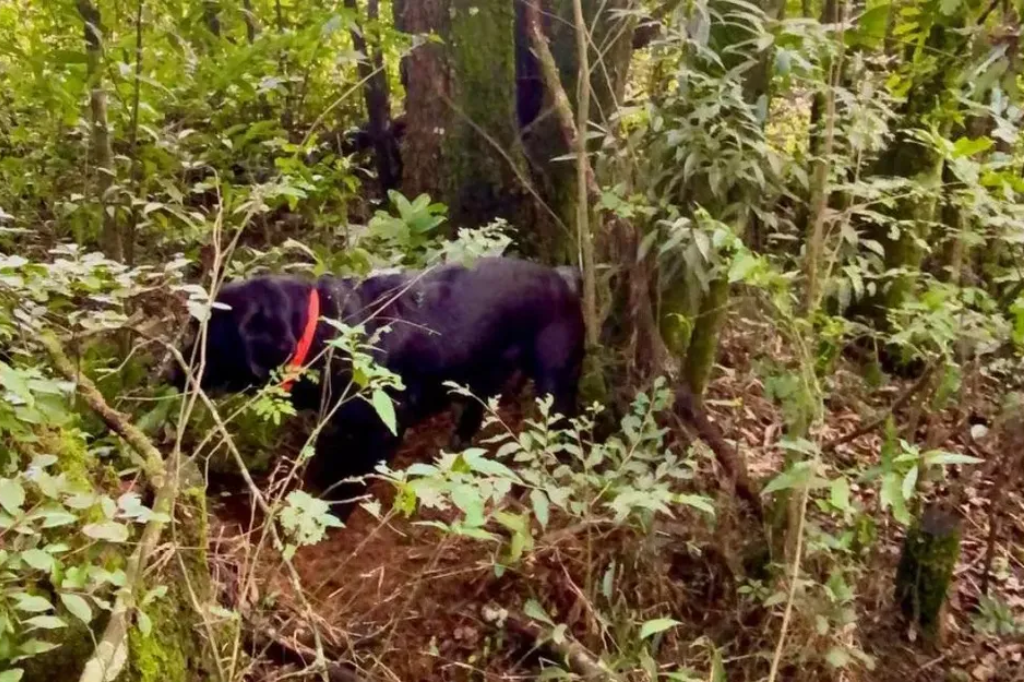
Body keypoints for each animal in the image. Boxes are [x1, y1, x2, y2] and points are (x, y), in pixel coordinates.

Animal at [172, 254, 581, 503]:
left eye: (206, 336)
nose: (170, 372)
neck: (324, 333)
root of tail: (564, 278)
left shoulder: (383, 430)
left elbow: (347, 486)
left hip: (555, 385)